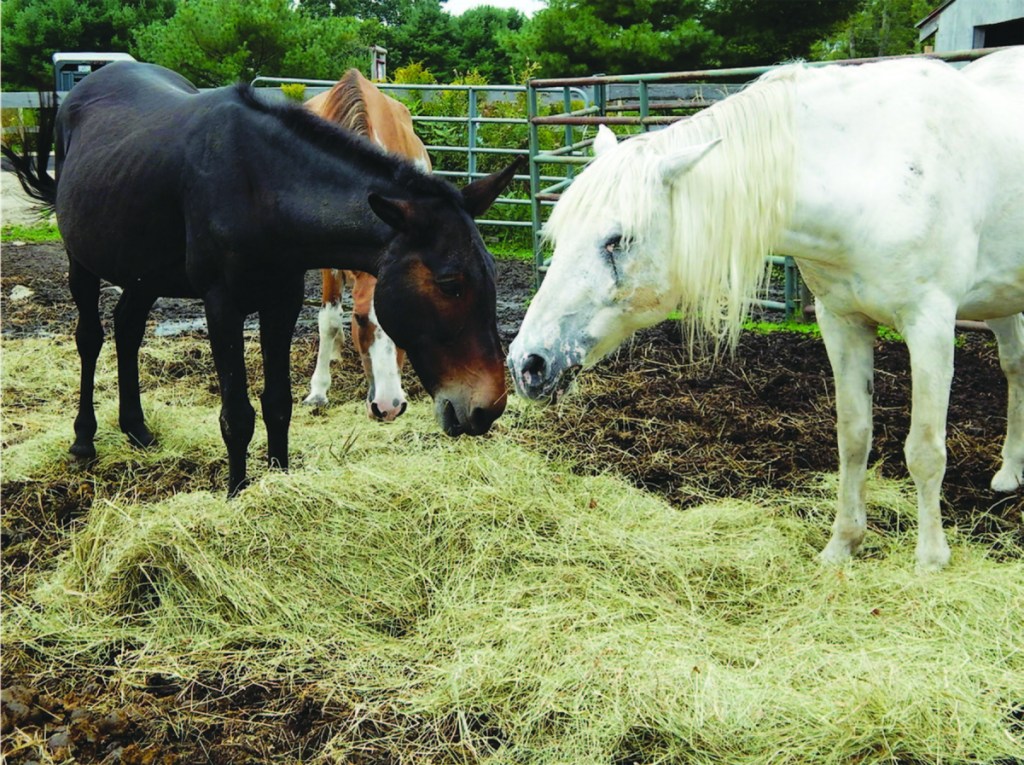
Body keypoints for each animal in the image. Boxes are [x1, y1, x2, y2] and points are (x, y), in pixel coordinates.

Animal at [512, 47, 1024, 573]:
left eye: (618, 239)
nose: (526, 364)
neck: (878, 169)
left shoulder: (930, 325)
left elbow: (924, 449)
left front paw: (930, 562)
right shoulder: (841, 322)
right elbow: (853, 436)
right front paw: (842, 545)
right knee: (1014, 366)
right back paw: (1009, 472)